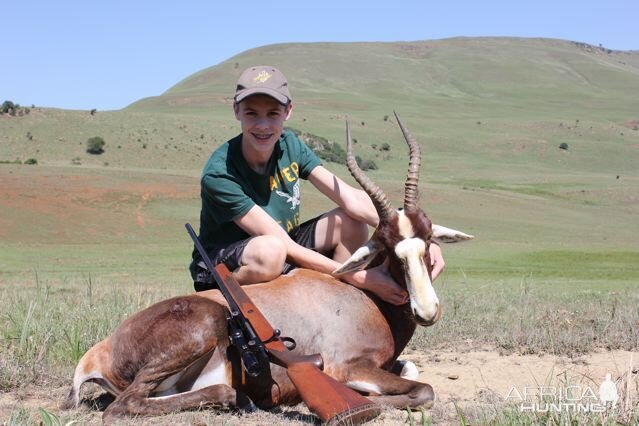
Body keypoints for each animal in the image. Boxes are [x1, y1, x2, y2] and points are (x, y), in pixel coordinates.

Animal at [65, 113, 472, 422]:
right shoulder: (348, 366)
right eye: (388, 247)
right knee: (122, 407)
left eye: (428, 240)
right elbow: (423, 390)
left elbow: (414, 371)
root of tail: (100, 352)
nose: (427, 311)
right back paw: (243, 398)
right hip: (203, 327)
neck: (360, 295)